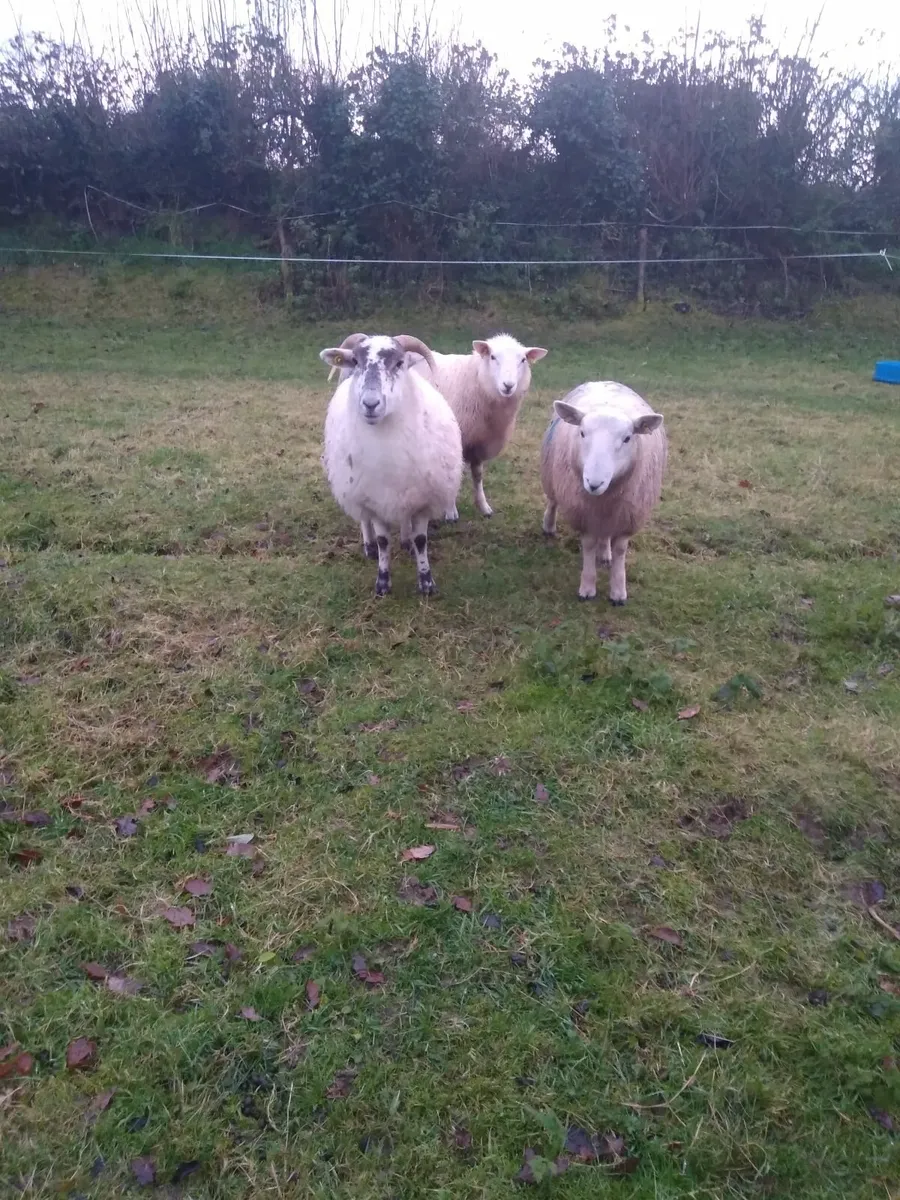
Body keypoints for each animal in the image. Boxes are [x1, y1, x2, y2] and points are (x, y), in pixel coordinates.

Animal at [319, 334, 463, 597]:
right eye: (355, 361)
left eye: (399, 363)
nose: (370, 403)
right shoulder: (374, 500)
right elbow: (383, 541)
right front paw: (383, 582)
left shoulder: (422, 499)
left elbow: (421, 540)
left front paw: (426, 582)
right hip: (355, 488)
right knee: (364, 520)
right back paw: (369, 546)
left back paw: (406, 541)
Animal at [410, 333, 548, 520]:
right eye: (493, 357)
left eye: (523, 360)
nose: (508, 385)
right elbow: (454, 473)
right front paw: (450, 510)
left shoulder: (479, 442)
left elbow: (478, 475)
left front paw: (484, 506)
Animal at [540, 381, 666, 604]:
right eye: (582, 433)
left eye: (627, 438)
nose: (593, 483)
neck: (603, 499)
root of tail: (604, 381)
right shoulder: (583, 516)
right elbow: (589, 546)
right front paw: (587, 588)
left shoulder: (627, 518)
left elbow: (620, 550)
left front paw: (618, 592)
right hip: (551, 474)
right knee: (553, 501)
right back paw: (549, 525)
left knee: (606, 535)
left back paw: (605, 553)